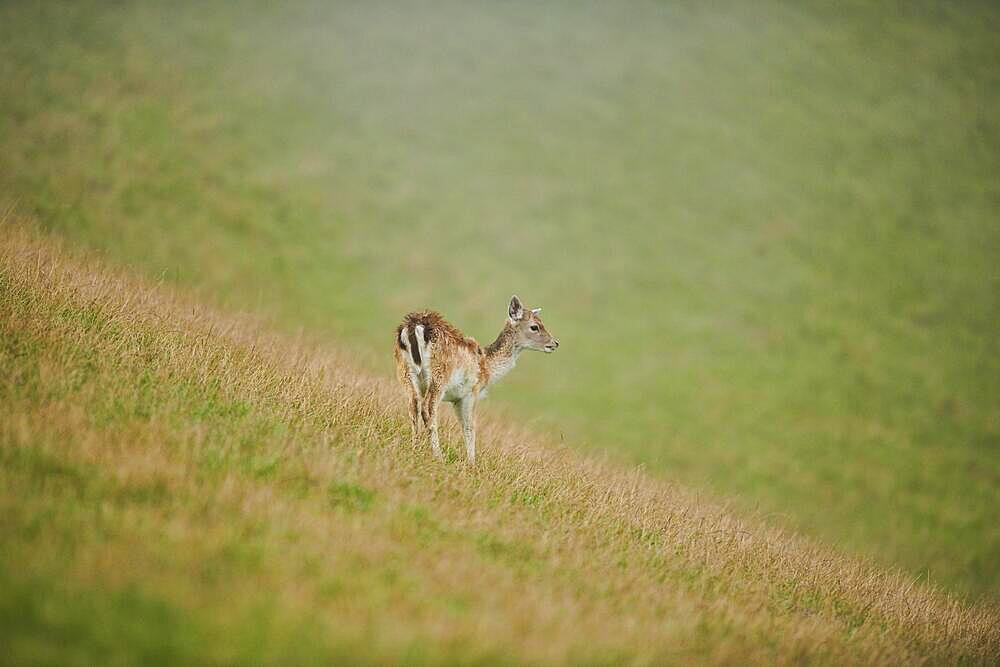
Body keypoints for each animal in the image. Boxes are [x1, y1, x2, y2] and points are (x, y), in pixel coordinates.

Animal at [394, 298, 560, 464]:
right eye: (535, 326)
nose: (555, 343)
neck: (487, 367)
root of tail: (414, 327)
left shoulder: (456, 399)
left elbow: (464, 426)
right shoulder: (471, 392)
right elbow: (470, 427)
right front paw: (472, 463)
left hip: (405, 372)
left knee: (413, 405)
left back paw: (415, 449)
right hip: (439, 376)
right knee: (428, 407)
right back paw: (438, 456)